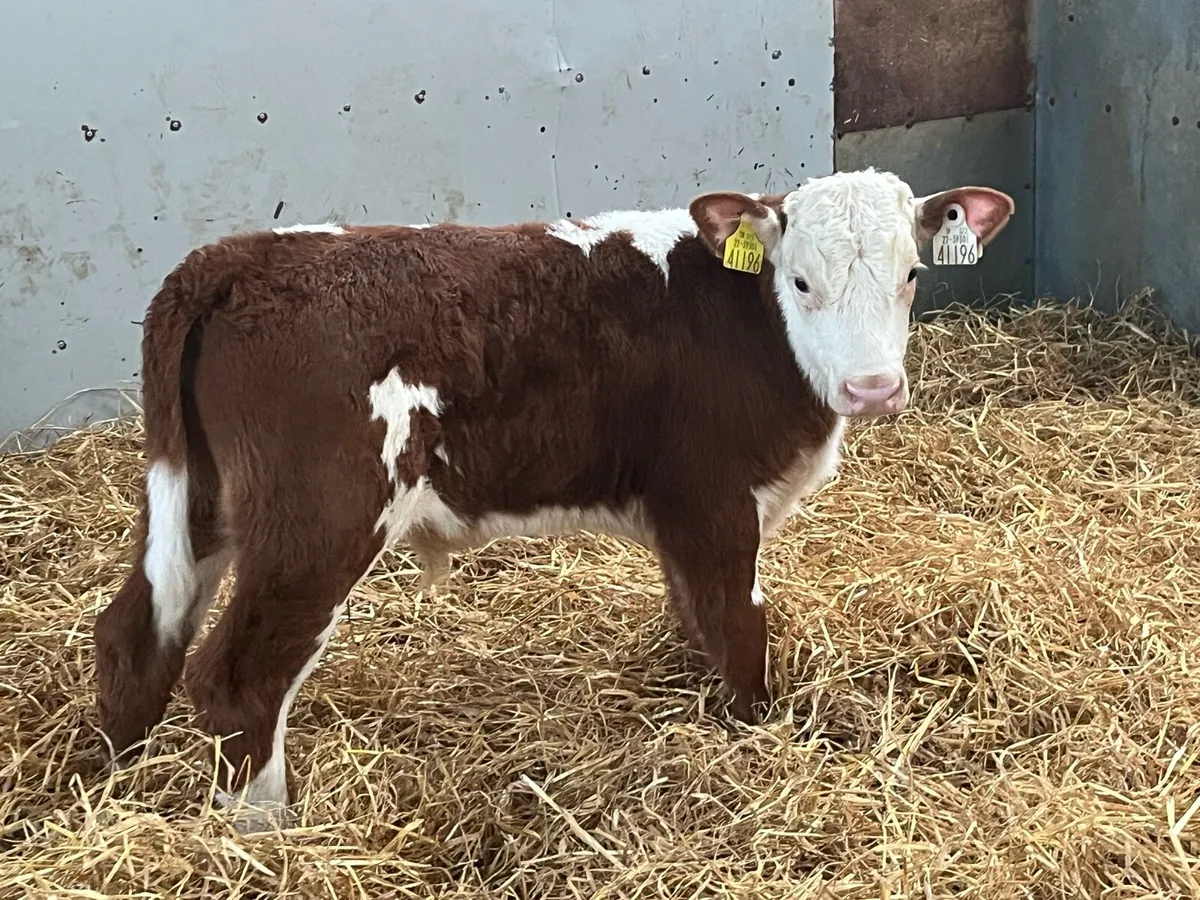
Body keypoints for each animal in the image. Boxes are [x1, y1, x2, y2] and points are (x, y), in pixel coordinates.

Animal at [93, 168, 1014, 830]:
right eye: (800, 283)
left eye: (912, 272)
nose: (873, 388)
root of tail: (238, 257)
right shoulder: (714, 498)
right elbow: (739, 625)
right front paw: (756, 736)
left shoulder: (677, 516)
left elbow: (694, 617)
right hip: (318, 520)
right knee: (241, 676)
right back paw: (264, 832)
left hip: (201, 501)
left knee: (136, 634)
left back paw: (106, 783)